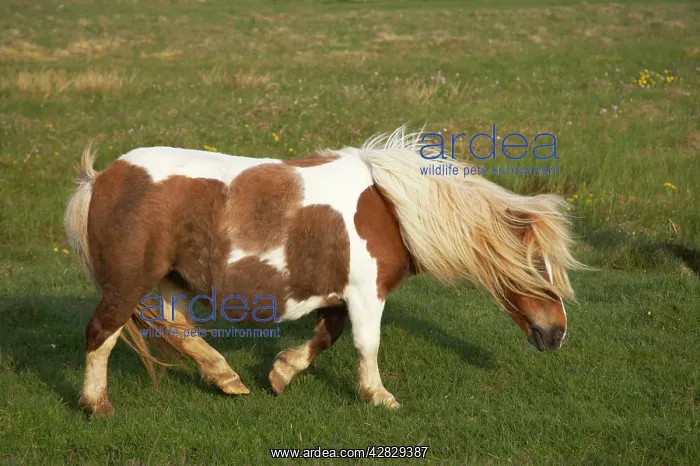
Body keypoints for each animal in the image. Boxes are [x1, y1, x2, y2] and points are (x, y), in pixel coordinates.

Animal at [64, 126, 584, 416]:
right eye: (538, 267)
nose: (557, 334)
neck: (390, 209)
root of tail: (103, 178)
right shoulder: (367, 292)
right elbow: (366, 344)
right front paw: (378, 396)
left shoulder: (340, 293)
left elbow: (325, 336)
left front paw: (281, 373)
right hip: (129, 283)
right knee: (101, 334)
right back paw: (97, 405)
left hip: (171, 281)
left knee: (177, 328)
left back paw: (227, 378)